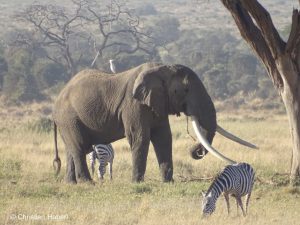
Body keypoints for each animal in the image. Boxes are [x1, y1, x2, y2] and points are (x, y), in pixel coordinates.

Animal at [52, 62, 255, 183]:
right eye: (185, 90)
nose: (195, 151)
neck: (162, 68)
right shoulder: (133, 104)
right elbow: (140, 137)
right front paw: (136, 183)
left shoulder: (158, 103)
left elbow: (164, 137)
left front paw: (168, 183)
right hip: (69, 117)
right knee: (79, 147)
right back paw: (88, 183)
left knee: (72, 149)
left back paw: (71, 183)